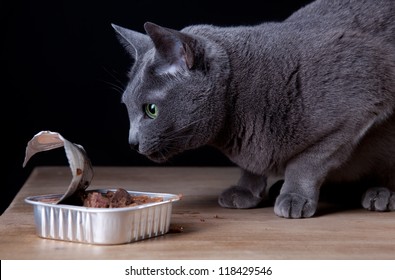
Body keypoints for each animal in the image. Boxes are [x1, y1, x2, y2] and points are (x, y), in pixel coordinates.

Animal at [111, 0, 395, 219]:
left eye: (151, 110)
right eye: (126, 107)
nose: (131, 142)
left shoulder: (358, 110)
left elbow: (307, 162)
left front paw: (294, 197)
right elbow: (250, 166)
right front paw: (246, 191)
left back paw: (381, 194)